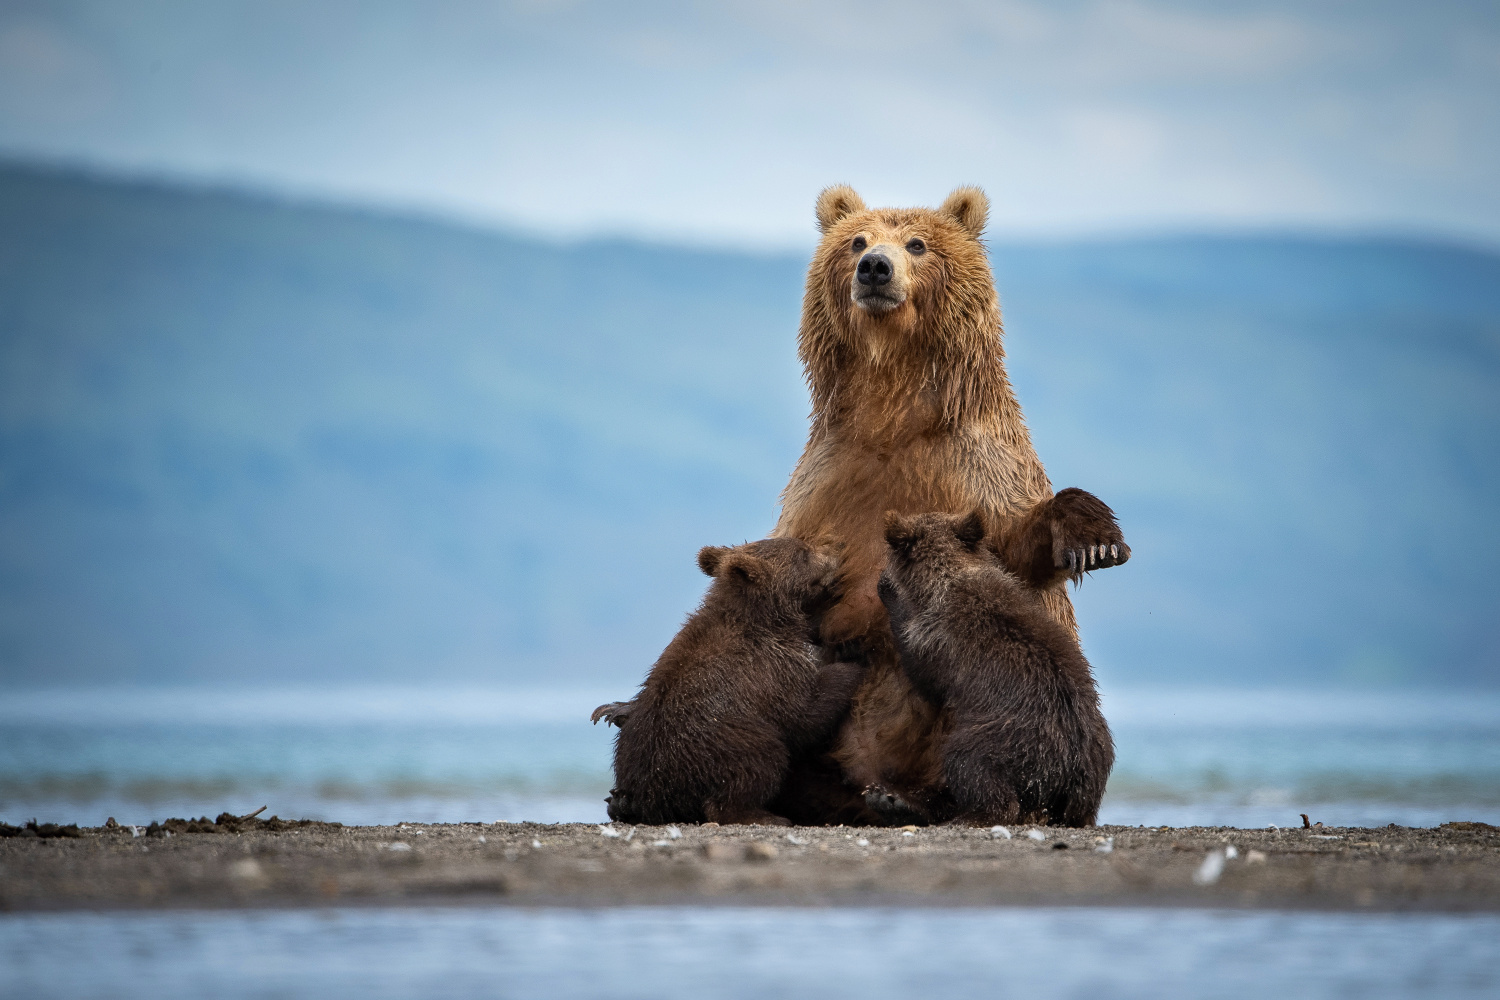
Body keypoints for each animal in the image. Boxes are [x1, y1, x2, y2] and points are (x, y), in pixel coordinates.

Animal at [594, 539, 864, 827]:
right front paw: (852, 659)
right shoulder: (768, 668)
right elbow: (804, 712)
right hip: (727, 743)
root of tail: (654, 797)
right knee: (756, 766)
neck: (765, 619)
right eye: (802, 553)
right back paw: (766, 815)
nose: (836, 550)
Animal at [876, 512, 1116, 827]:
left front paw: (888, 589)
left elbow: (924, 675)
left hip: (1005, 738)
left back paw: (965, 813)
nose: (881, 573)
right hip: (1097, 754)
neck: (948, 577)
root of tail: (1072, 771)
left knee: (970, 765)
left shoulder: (937, 641)